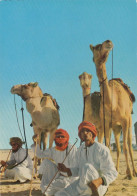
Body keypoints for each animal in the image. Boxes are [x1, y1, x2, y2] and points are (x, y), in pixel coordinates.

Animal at [89, 39, 136, 179]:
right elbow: (108, 147)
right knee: (119, 148)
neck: (112, 105)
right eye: (98, 47)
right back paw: (117, 169)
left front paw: (130, 174)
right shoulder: (106, 123)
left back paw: (133, 172)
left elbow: (125, 147)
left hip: (129, 122)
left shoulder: (125, 121)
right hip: (116, 127)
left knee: (129, 146)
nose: (108, 42)